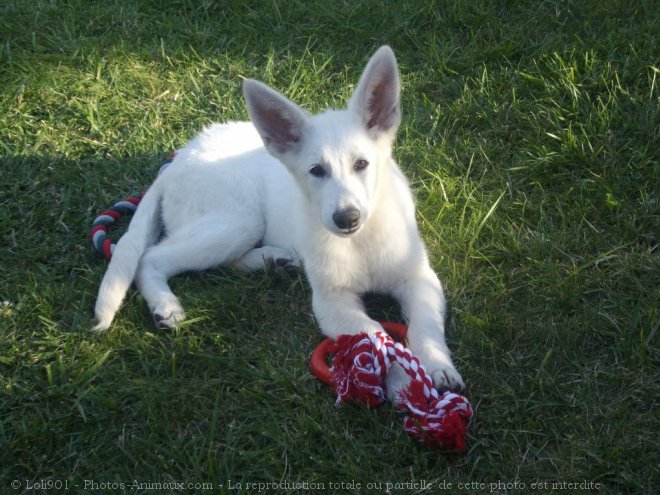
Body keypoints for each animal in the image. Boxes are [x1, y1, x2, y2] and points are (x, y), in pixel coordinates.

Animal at [94, 45, 464, 392]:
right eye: (316, 171)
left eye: (362, 164)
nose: (346, 218)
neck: (361, 242)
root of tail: (176, 162)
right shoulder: (330, 301)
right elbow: (375, 334)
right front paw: (402, 380)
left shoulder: (420, 279)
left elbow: (425, 325)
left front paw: (436, 366)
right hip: (239, 220)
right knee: (151, 257)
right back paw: (166, 304)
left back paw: (274, 260)